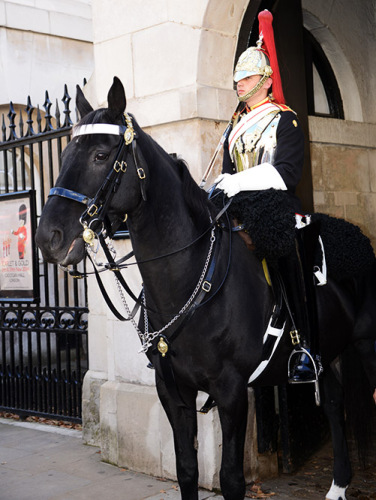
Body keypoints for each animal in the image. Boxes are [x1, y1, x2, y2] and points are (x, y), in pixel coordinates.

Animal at [36, 76, 376, 498]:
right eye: (66, 154)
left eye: (100, 155)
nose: (48, 238)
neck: (189, 280)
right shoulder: (172, 392)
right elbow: (186, 469)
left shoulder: (231, 391)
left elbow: (230, 478)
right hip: (326, 351)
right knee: (331, 401)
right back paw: (338, 484)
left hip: (366, 344)